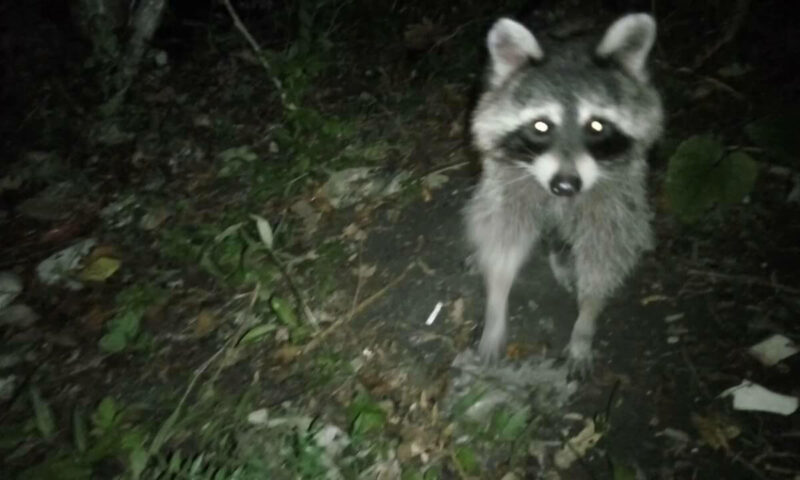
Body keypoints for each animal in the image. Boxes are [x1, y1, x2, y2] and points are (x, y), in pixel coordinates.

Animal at [462, 14, 664, 376]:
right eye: (541, 126)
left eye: (596, 126)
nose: (565, 186)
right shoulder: (510, 175)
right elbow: (503, 237)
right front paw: (496, 304)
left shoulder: (616, 189)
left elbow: (606, 248)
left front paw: (586, 320)